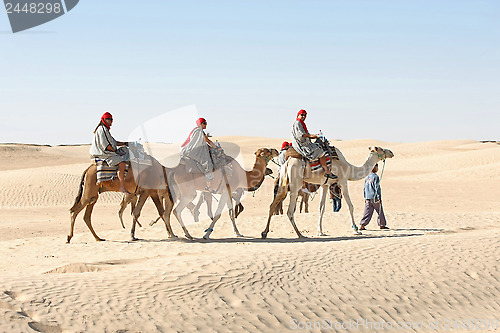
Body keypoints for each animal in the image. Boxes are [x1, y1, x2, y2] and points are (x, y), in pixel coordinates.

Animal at [262, 145, 394, 236]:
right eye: (380, 149)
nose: (391, 152)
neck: (350, 169)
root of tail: (287, 162)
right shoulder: (343, 181)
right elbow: (350, 206)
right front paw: (356, 230)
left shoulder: (325, 185)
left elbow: (322, 207)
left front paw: (320, 231)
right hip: (295, 185)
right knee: (290, 211)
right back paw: (300, 234)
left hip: (282, 184)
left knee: (272, 205)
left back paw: (264, 233)